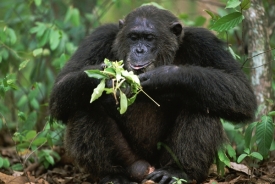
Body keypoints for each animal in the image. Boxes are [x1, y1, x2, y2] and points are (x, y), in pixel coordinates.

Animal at [49, 4, 256, 184]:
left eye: (149, 38)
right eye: (133, 37)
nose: (139, 50)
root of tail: (146, 167)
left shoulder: (204, 42)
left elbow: (242, 91)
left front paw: (166, 77)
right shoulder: (98, 38)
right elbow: (59, 91)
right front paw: (109, 75)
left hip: (162, 160)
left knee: (201, 108)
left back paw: (176, 172)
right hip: (130, 161)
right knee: (85, 108)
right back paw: (112, 175)